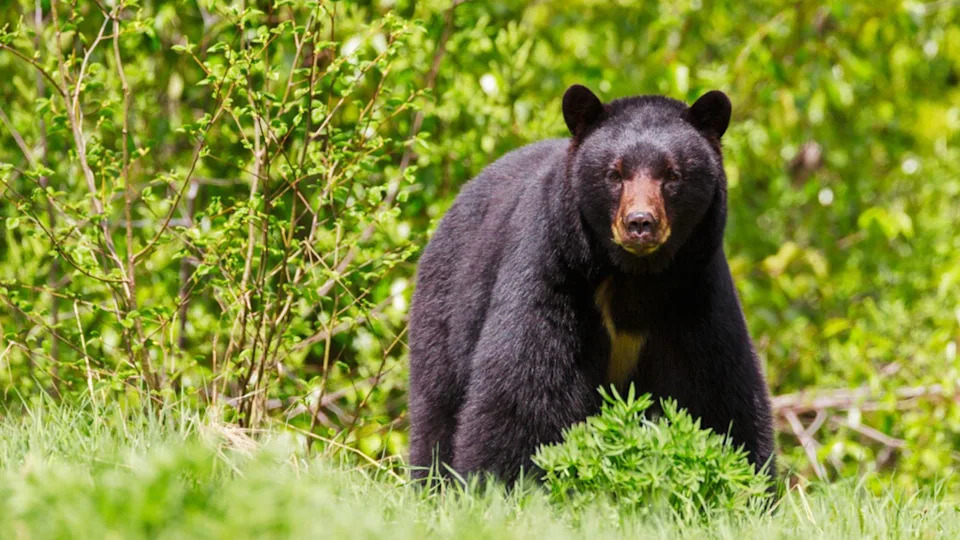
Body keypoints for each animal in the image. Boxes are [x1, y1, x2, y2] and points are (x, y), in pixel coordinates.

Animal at [407, 84, 775, 484]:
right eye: (614, 174)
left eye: (672, 174)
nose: (640, 223)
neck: (635, 276)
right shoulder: (554, 271)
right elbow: (526, 386)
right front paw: (501, 481)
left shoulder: (694, 290)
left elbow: (716, 391)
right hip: (447, 307)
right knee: (437, 406)